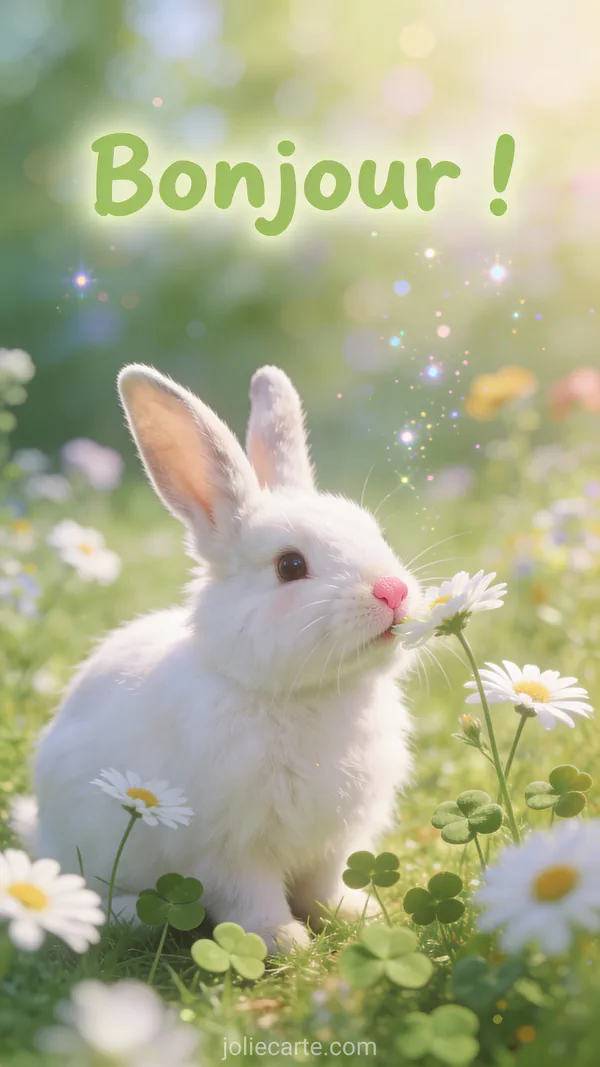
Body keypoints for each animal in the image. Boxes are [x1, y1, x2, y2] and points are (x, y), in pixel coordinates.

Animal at [27, 364, 420, 952]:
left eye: (377, 534)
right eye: (290, 565)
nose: (393, 591)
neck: (308, 695)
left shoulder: (336, 840)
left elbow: (327, 887)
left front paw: (359, 916)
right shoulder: (229, 848)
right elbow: (251, 899)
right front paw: (283, 942)